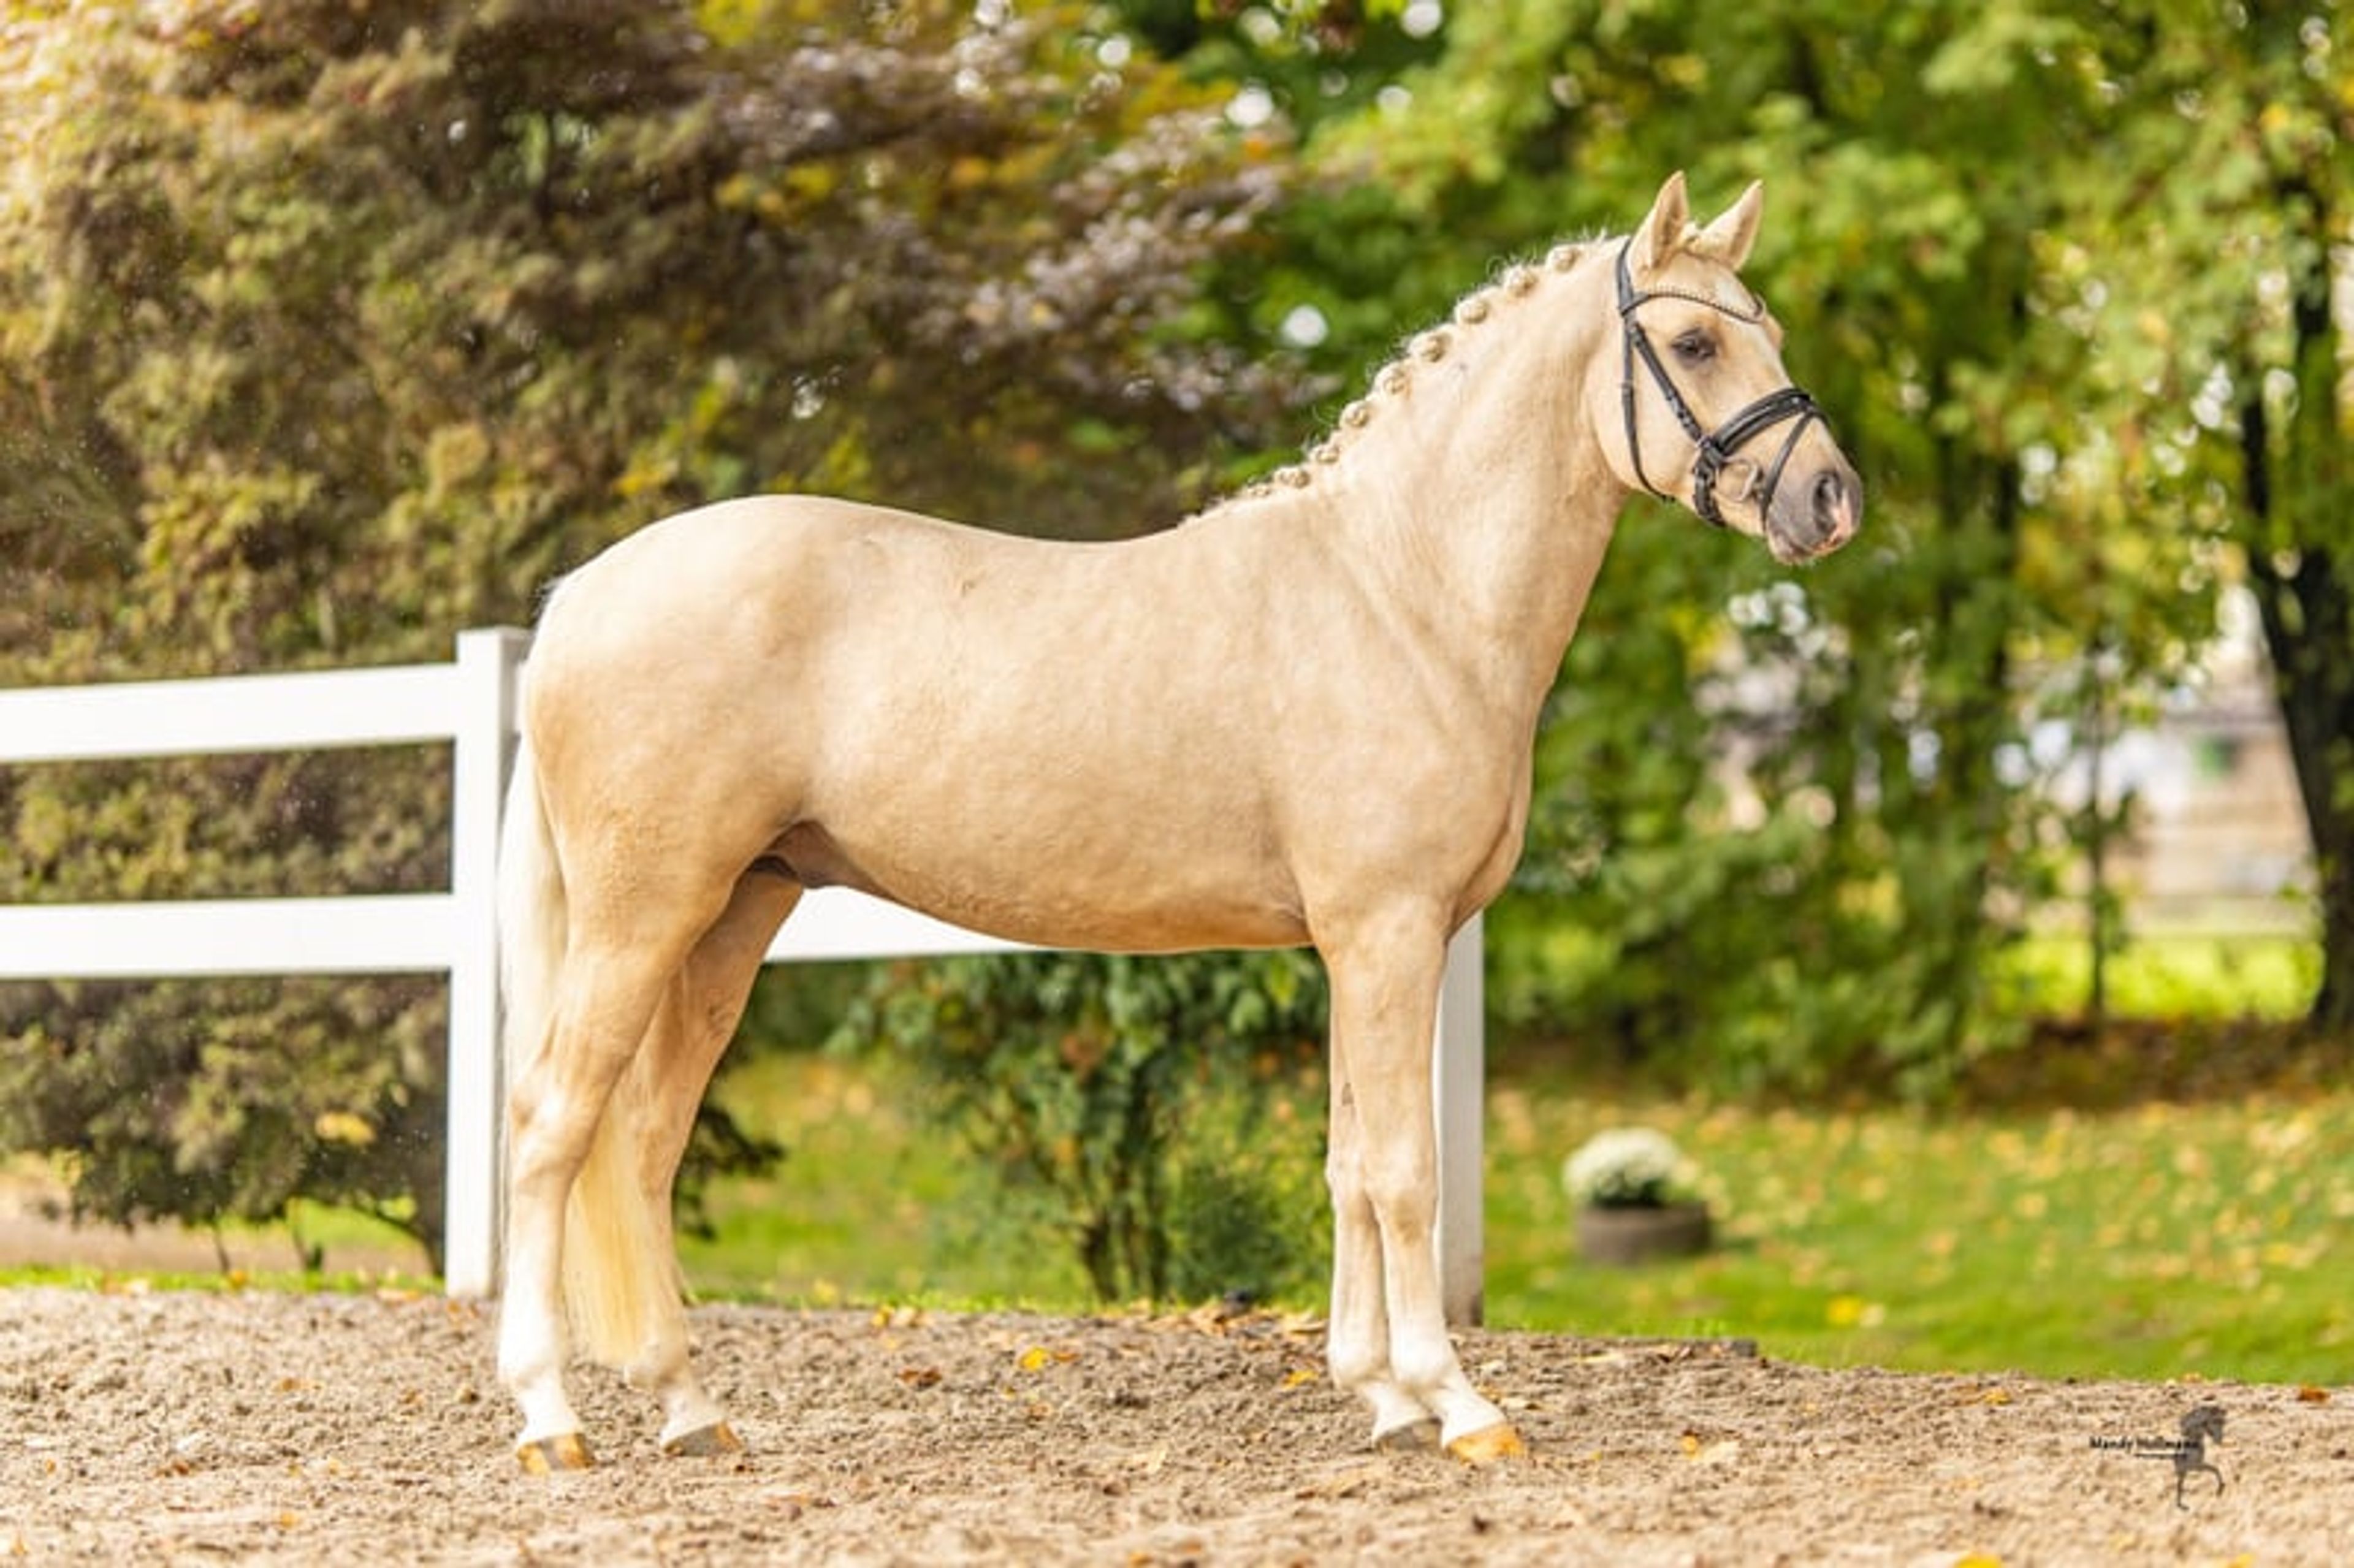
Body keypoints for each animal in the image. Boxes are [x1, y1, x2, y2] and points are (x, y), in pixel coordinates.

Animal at [493, 171, 1862, 1472]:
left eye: (1771, 328)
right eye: (1693, 342)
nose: (1831, 498)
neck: (1400, 591)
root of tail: (581, 595)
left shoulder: (1363, 943)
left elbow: (1349, 1167)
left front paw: (1382, 1396)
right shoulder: (1388, 933)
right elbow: (1405, 1173)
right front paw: (1459, 1404)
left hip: (736, 913)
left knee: (644, 1141)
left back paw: (688, 1408)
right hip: (644, 917)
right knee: (552, 1126)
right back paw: (550, 1416)